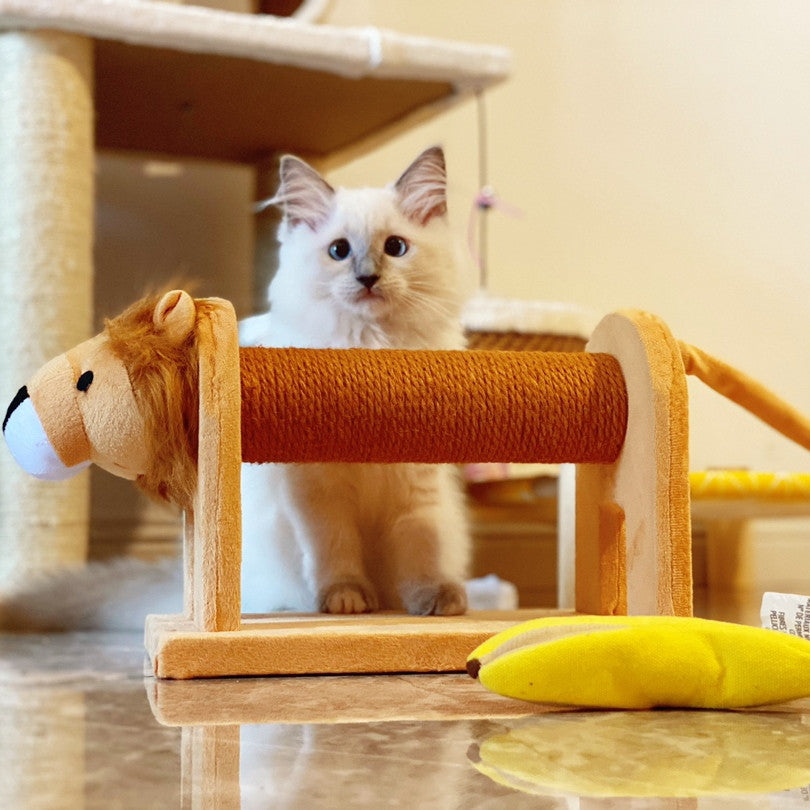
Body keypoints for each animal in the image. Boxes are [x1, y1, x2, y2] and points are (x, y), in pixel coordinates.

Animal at [237, 145, 470, 612]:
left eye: (395, 247)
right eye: (339, 251)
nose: (367, 278)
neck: (371, 350)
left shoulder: (417, 482)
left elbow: (421, 544)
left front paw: (433, 598)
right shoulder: (319, 489)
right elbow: (335, 547)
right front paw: (347, 598)